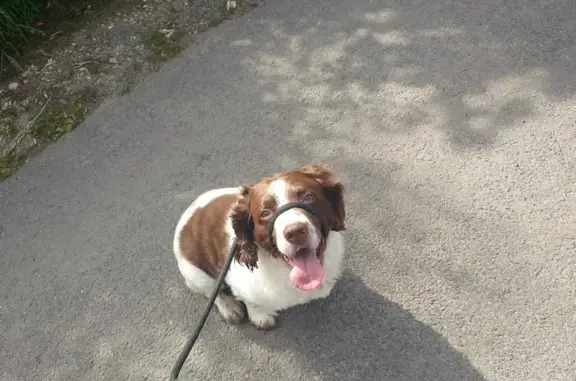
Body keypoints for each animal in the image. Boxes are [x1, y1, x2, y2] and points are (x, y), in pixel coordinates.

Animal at [172, 164, 346, 330]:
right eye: (265, 213)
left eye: (308, 196)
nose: (295, 232)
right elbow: (252, 302)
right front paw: (260, 317)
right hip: (195, 274)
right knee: (212, 293)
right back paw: (229, 308)